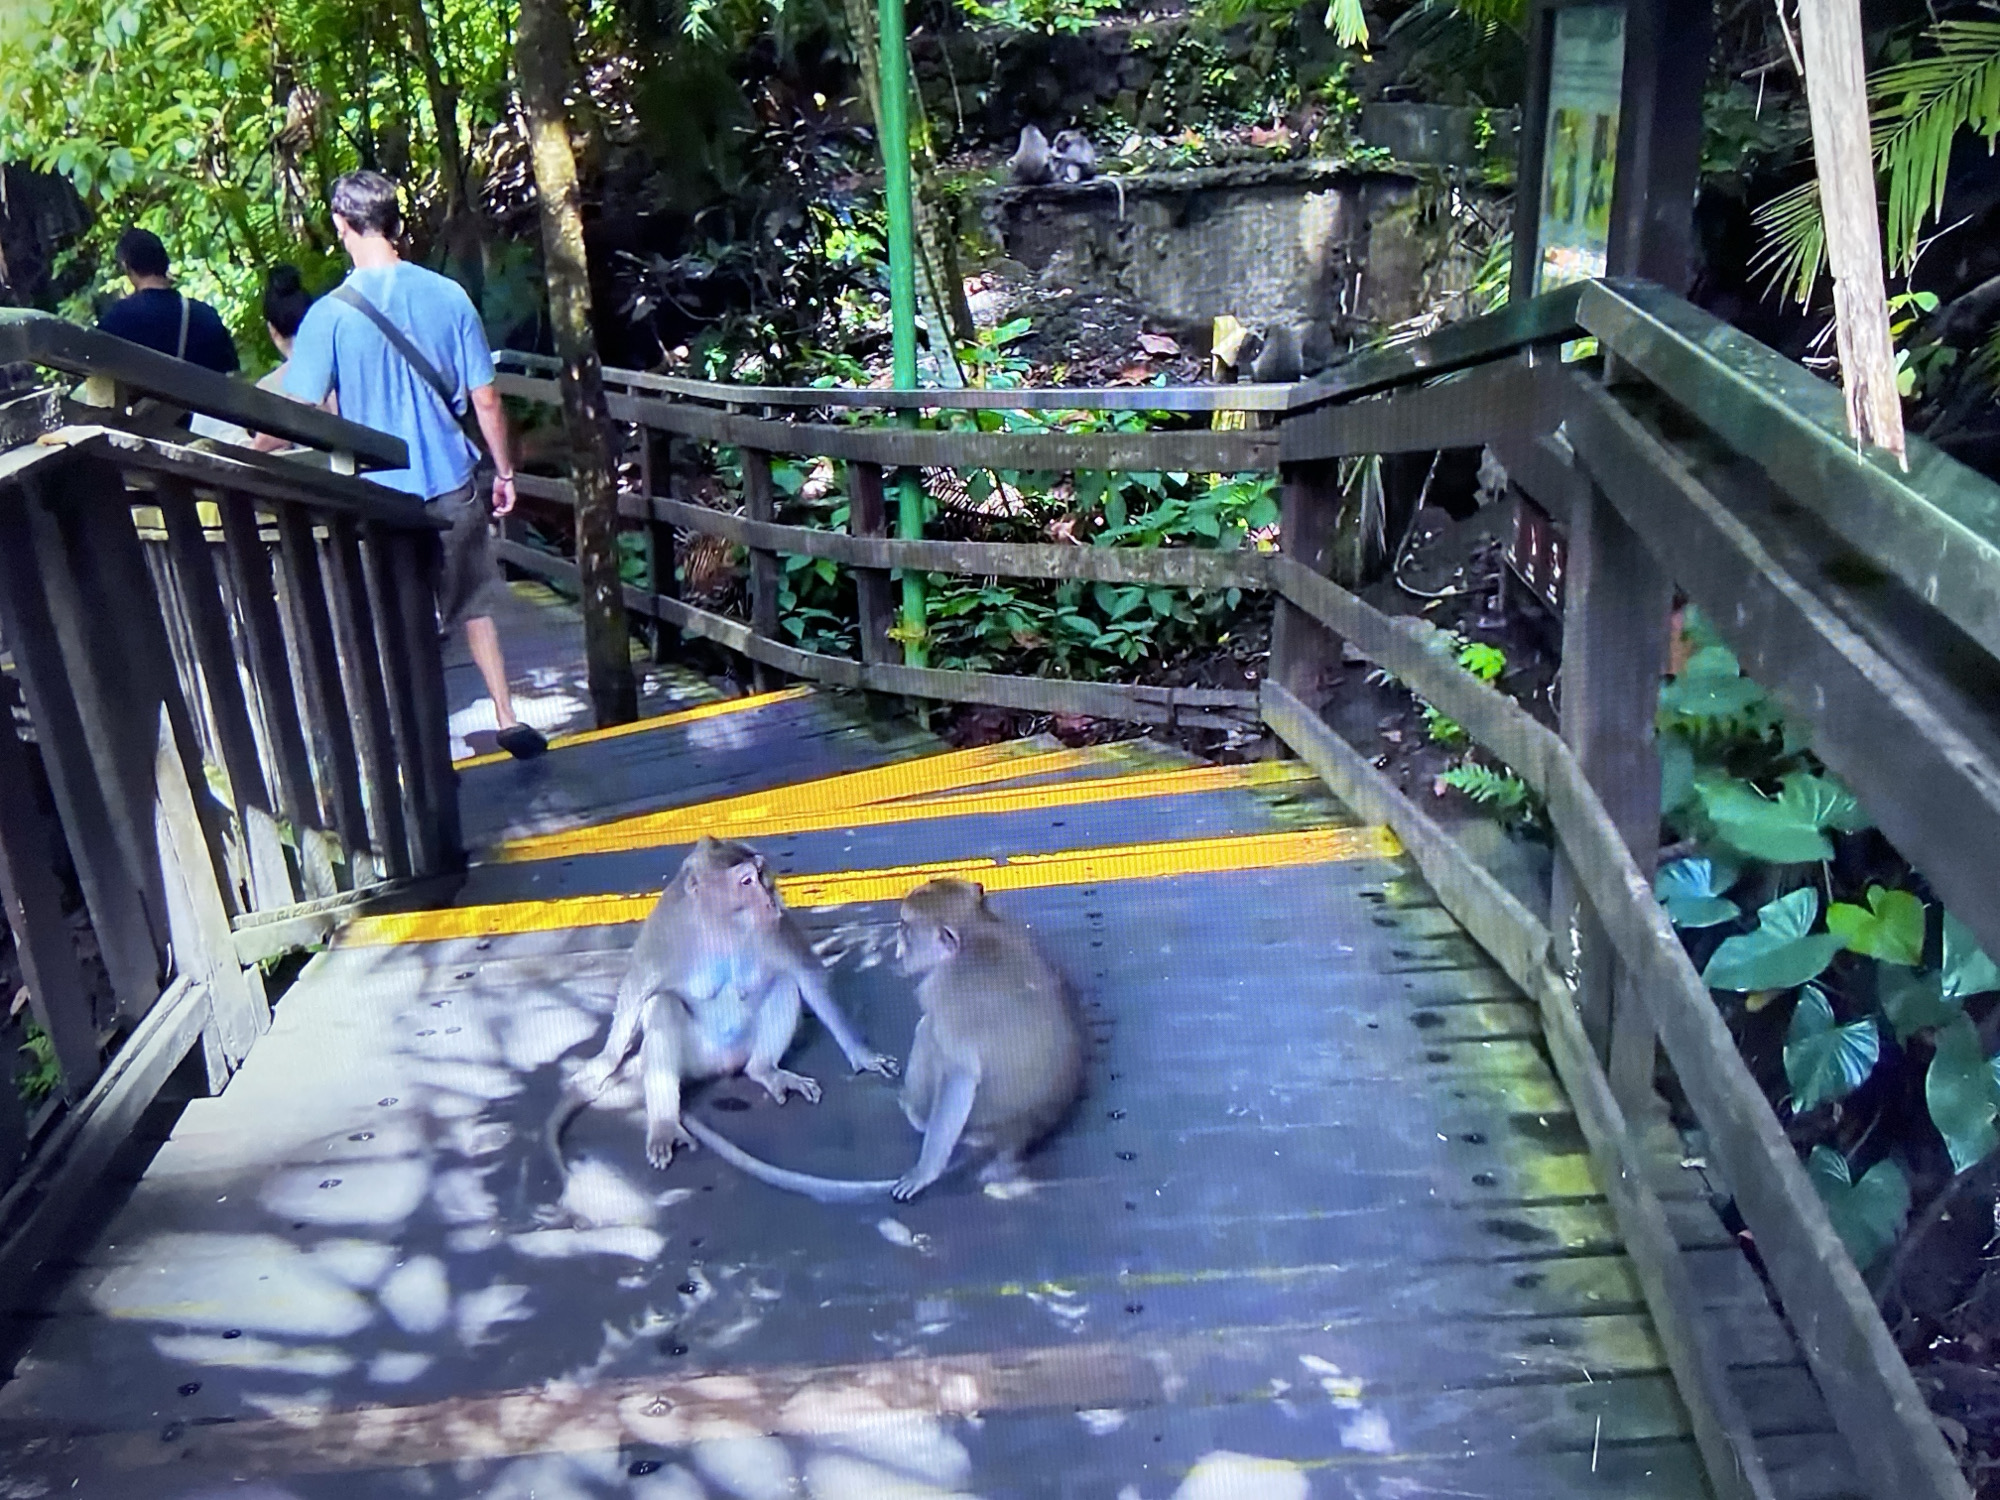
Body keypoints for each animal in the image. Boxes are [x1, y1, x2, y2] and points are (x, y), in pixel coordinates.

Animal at [547, 837, 896, 1186]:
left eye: (761, 873)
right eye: (746, 881)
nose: (770, 899)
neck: (722, 925)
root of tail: (722, 1065)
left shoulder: (776, 927)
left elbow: (805, 975)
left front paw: (863, 1055)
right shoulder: (665, 928)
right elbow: (637, 987)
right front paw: (603, 1062)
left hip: (744, 1048)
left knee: (783, 984)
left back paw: (765, 1071)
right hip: (694, 1056)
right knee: (662, 1006)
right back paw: (664, 1123)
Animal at [681, 878, 1084, 1203]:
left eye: (906, 927)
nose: (899, 947)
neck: (977, 933)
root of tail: (1017, 1129)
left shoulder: (942, 992)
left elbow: (960, 1074)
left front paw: (925, 1171)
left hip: (973, 1116)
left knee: (928, 1033)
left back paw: (916, 1114)